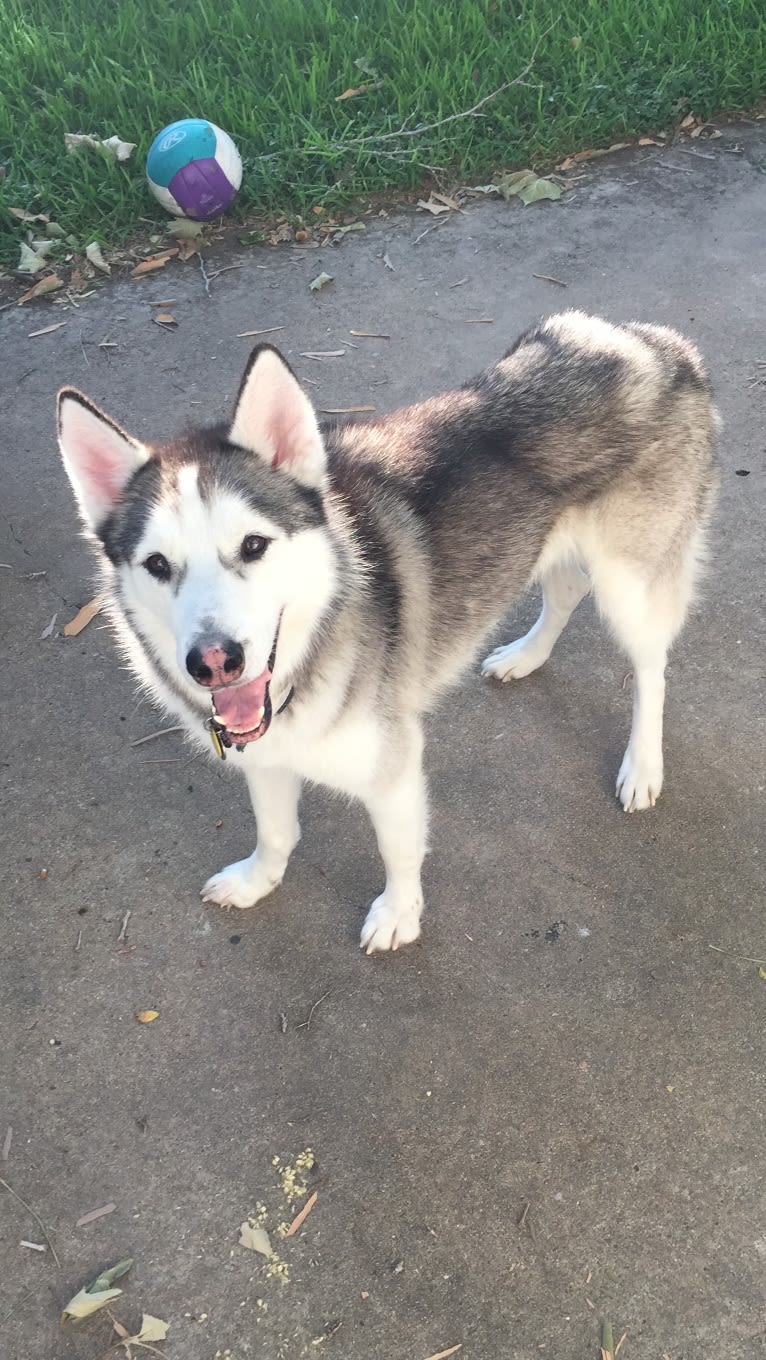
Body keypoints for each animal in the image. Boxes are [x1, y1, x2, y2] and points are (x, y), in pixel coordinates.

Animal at [58, 315, 718, 957]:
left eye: (253, 545)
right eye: (157, 565)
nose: (215, 662)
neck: (309, 654)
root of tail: (657, 343)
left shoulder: (392, 766)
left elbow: (397, 851)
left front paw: (399, 915)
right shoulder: (267, 755)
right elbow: (276, 832)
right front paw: (257, 881)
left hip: (630, 587)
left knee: (651, 668)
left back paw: (643, 765)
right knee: (565, 589)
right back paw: (525, 656)